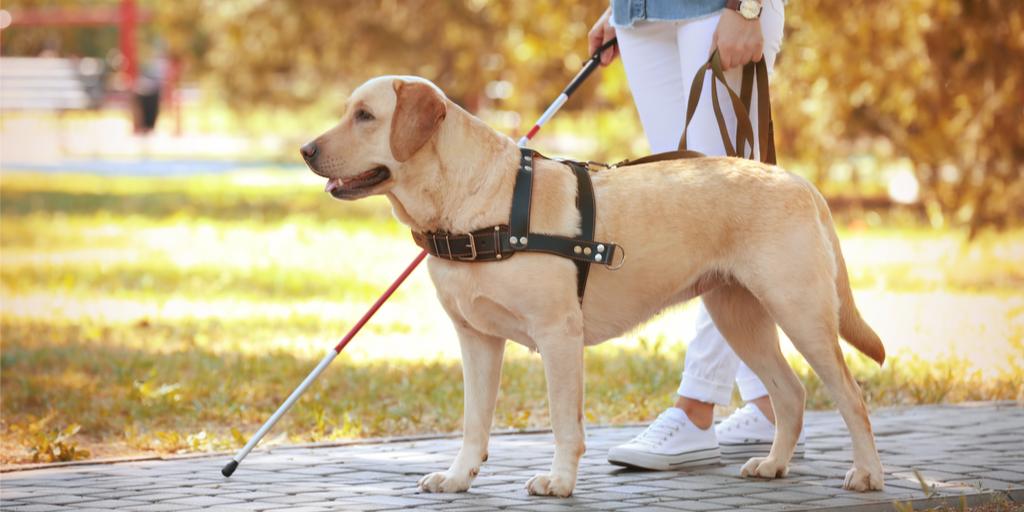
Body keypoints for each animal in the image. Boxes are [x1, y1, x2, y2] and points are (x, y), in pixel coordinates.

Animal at [299, 77, 884, 497]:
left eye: (365, 116)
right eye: (349, 111)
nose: (305, 150)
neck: (474, 204)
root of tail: (800, 181)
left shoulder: (558, 335)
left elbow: (564, 422)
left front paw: (559, 482)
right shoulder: (477, 339)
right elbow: (474, 423)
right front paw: (459, 476)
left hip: (800, 312)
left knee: (851, 396)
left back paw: (868, 475)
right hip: (738, 316)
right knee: (791, 394)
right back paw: (775, 464)